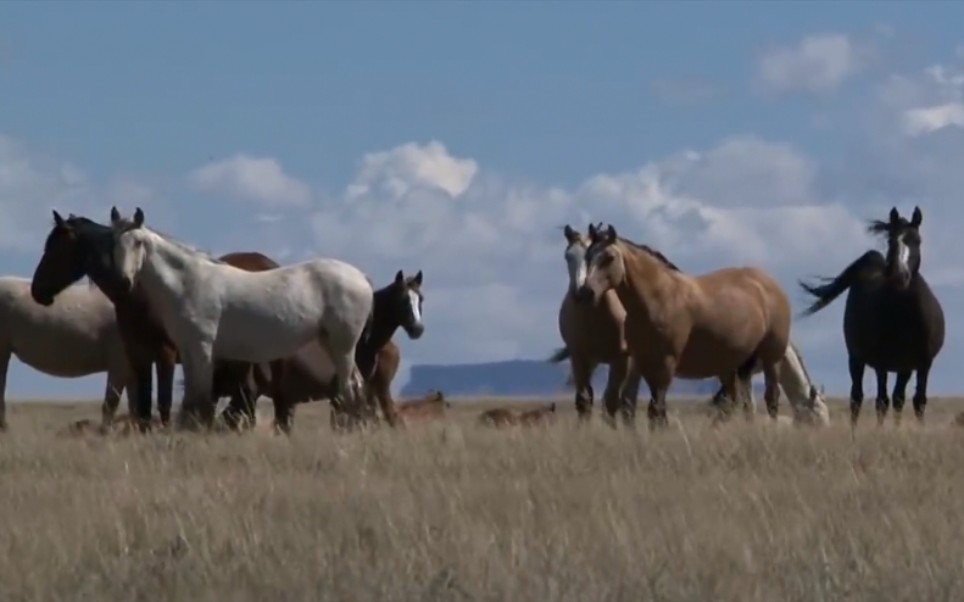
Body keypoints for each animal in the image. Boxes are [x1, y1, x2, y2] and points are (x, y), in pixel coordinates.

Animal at [108, 206, 372, 426]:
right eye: (113, 242)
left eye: (138, 242)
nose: (123, 282)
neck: (188, 283)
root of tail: (361, 277)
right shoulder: (188, 349)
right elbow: (192, 400)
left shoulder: (203, 348)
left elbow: (201, 399)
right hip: (332, 344)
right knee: (356, 386)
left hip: (343, 346)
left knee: (349, 389)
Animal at [548, 223, 640, 424]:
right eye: (568, 256)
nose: (581, 292)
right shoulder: (579, 357)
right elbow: (584, 401)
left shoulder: (621, 359)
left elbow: (612, 401)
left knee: (628, 399)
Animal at [576, 223, 796, 428]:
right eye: (587, 256)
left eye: (609, 257)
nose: (586, 292)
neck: (659, 298)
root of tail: (770, 285)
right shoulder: (644, 364)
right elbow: (653, 411)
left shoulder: (665, 365)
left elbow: (656, 411)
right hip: (732, 365)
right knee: (737, 403)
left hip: (771, 358)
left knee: (771, 398)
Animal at [800, 206, 948, 426]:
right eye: (891, 240)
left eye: (917, 240)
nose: (900, 276)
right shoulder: (881, 363)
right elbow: (881, 401)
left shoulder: (923, 364)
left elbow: (917, 401)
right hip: (856, 359)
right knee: (857, 398)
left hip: (903, 368)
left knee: (897, 398)